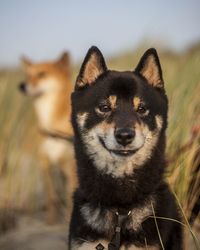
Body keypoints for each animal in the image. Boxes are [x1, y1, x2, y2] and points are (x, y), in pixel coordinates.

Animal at [18, 53, 77, 225]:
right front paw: (51, 221)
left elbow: (69, 195)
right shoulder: (44, 164)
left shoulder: (69, 166)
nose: (22, 86)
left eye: (42, 74)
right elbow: (50, 197)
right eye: (27, 75)